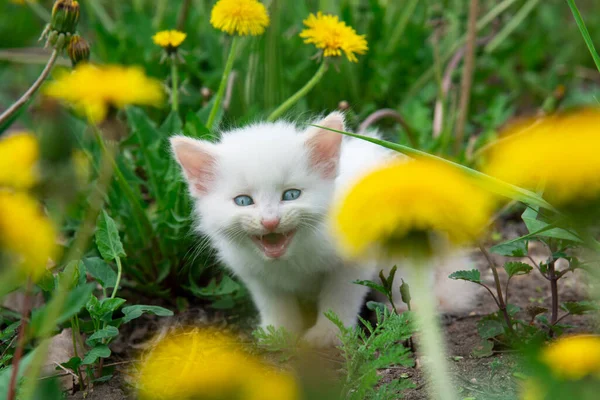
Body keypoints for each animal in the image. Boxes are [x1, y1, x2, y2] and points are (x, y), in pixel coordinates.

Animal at [170, 112, 478, 346]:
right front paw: (278, 333)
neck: (293, 256)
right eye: (243, 201)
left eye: (291, 195)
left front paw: (327, 335)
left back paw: (406, 309)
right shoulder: (257, 274)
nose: (270, 222)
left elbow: (339, 300)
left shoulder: (353, 263)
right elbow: (275, 303)